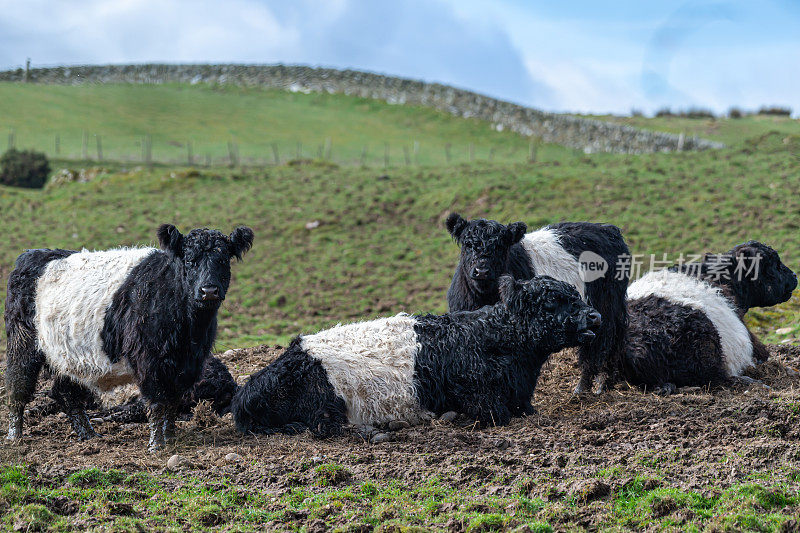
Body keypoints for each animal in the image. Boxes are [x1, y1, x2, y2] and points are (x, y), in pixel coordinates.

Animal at [3, 223, 253, 448]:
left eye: (223, 260)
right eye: (190, 261)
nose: (209, 290)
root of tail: (33, 254)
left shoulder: (187, 366)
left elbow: (172, 403)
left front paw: (171, 439)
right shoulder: (150, 361)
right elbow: (157, 403)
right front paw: (156, 445)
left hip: (68, 356)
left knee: (66, 393)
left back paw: (89, 435)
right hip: (22, 343)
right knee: (17, 388)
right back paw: (15, 437)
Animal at [231, 274, 600, 436]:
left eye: (575, 294)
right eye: (551, 302)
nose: (594, 316)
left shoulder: (520, 398)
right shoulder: (485, 401)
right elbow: (496, 415)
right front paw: (450, 417)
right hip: (324, 399)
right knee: (325, 427)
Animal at [446, 214, 628, 392]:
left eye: (500, 246)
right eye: (467, 244)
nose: (482, 271)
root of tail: (607, 229)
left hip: (605, 307)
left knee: (600, 343)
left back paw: (589, 385)